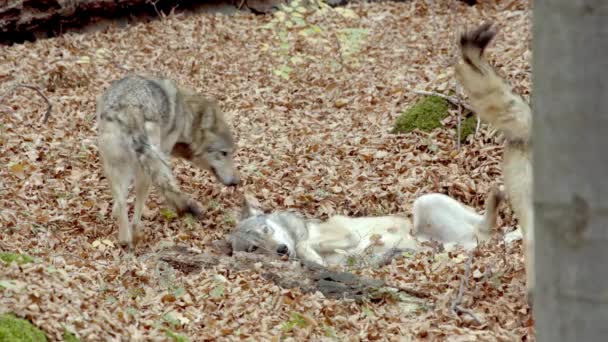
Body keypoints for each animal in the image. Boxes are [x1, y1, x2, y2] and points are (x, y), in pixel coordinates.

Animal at [95, 75, 240, 247]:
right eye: (224, 153)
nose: (237, 181)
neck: (186, 117)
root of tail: (130, 109)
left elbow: (119, 201)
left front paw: (113, 212)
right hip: (145, 171)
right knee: (136, 216)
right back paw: (136, 236)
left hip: (115, 167)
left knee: (122, 203)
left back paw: (124, 239)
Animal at [228, 188, 504, 268]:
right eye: (253, 248)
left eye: (266, 230)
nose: (282, 250)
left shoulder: (345, 233)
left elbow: (306, 243)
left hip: (424, 200)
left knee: (490, 223)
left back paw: (497, 195)